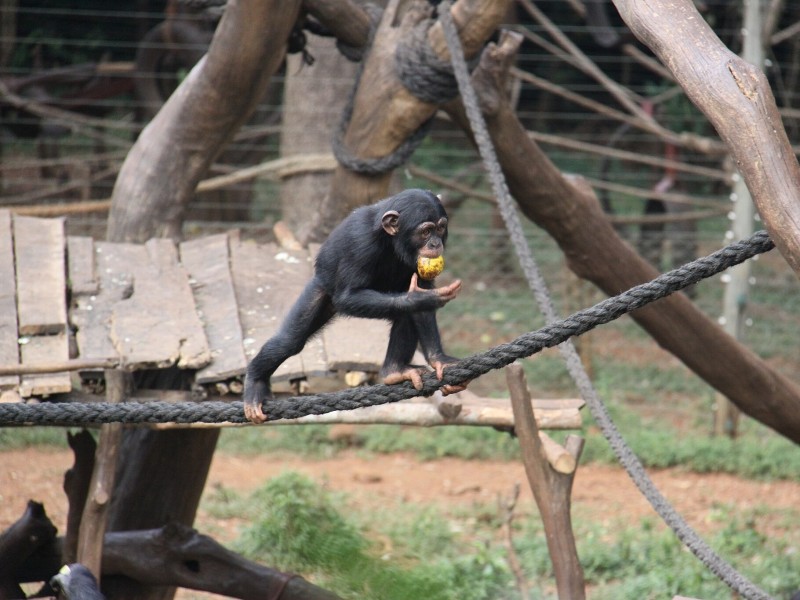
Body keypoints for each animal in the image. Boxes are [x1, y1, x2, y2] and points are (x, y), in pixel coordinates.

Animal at [243, 188, 465, 423]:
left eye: (440, 228)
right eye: (426, 231)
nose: (435, 244)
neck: (390, 240)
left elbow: (421, 304)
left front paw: (439, 359)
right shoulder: (360, 243)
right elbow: (348, 296)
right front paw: (421, 298)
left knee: (405, 314)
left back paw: (394, 371)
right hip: (322, 286)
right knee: (289, 342)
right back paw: (255, 384)